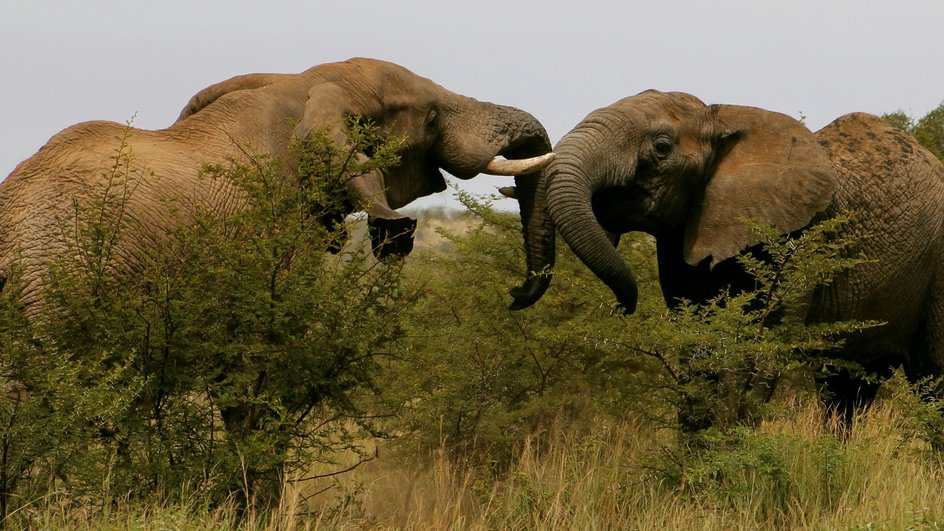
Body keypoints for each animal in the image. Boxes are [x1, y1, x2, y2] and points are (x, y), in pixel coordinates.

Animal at [544, 90, 944, 424]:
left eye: (661, 146)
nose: (621, 308)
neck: (723, 121)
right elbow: (696, 348)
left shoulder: (794, 244)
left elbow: (760, 351)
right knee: (846, 389)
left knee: (932, 378)